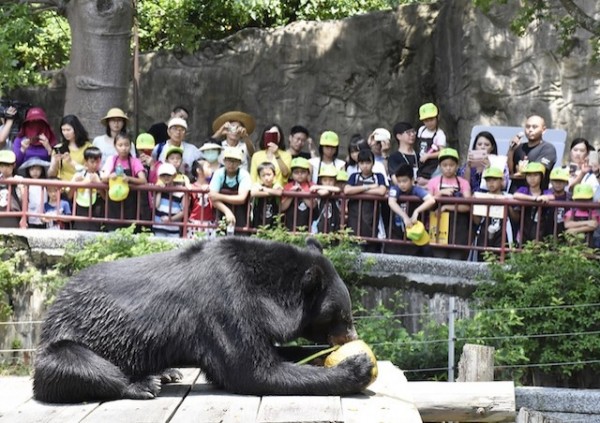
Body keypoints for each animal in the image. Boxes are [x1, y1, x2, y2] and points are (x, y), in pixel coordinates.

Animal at [34, 237, 376, 402]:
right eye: (341, 316)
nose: (352, 337)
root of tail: (51, 314)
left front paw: (324, 356)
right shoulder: (223, 305)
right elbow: (254, 371)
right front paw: (356, 367)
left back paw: (166, 372)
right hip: (62, 345)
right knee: (80, 366)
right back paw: (142, 384)